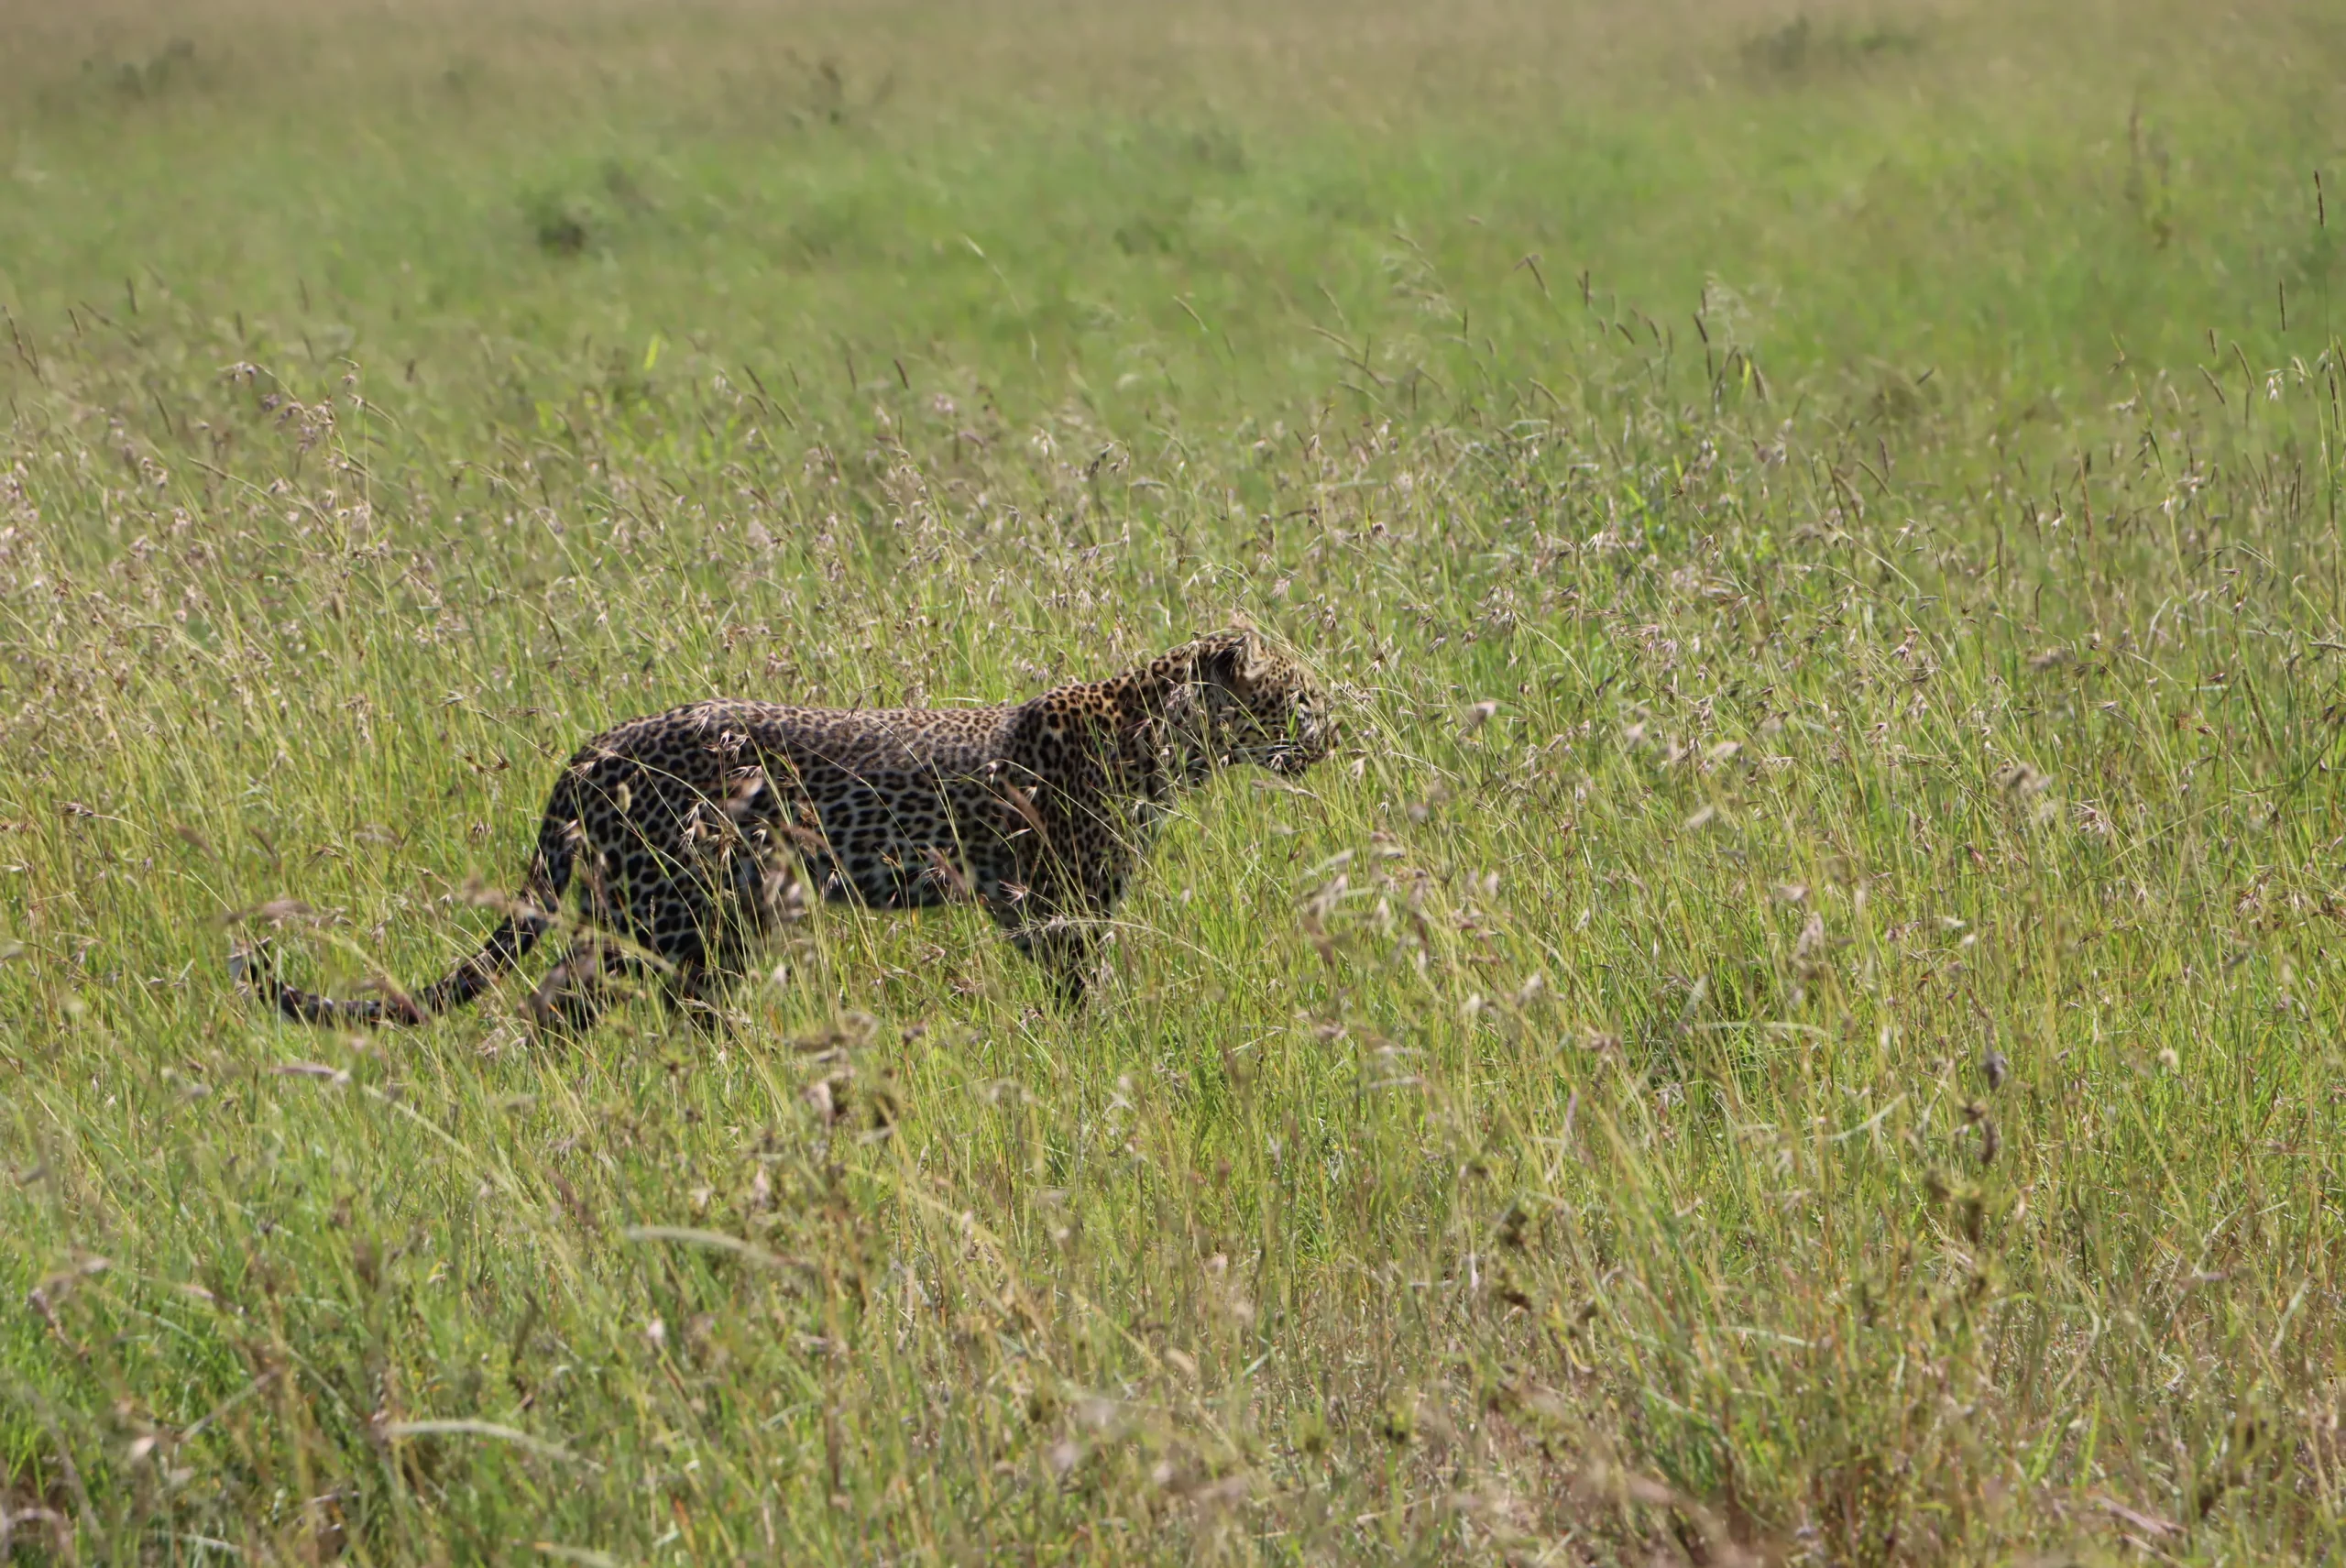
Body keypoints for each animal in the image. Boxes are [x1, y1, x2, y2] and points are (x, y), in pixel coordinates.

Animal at [242, 624, 1342, 1027]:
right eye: (1296, 697)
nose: (1338, 731)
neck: (1163, 744)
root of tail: (590, 750)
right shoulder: (1048, 903)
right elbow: (1086, 984)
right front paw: (1104, 1042)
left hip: (688, 913)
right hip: (676, 902)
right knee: (570, 999)